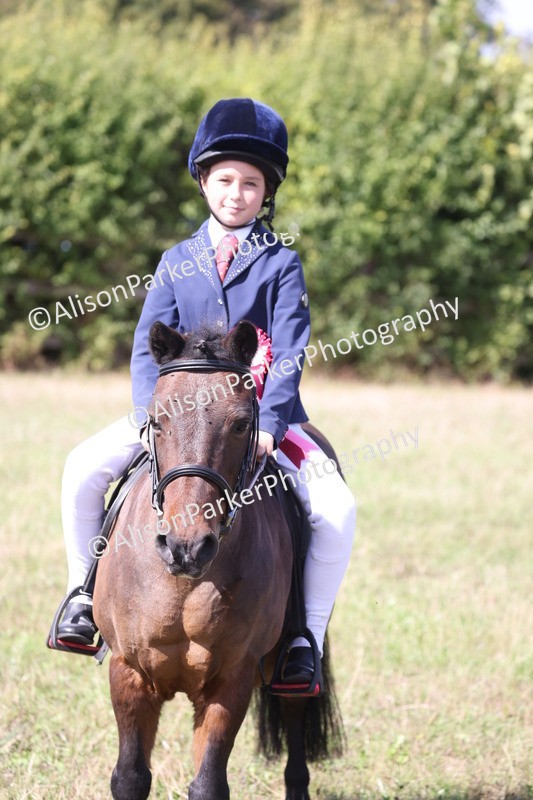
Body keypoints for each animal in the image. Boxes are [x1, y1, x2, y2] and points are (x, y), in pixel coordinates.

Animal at [93, 320, 343, 800]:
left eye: (242, 424)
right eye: (157, 420)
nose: (186, 547)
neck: (185, 582)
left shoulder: (232, 678)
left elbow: (208, 783)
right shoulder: (128, 671)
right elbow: (130, 777)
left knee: (294, 713)